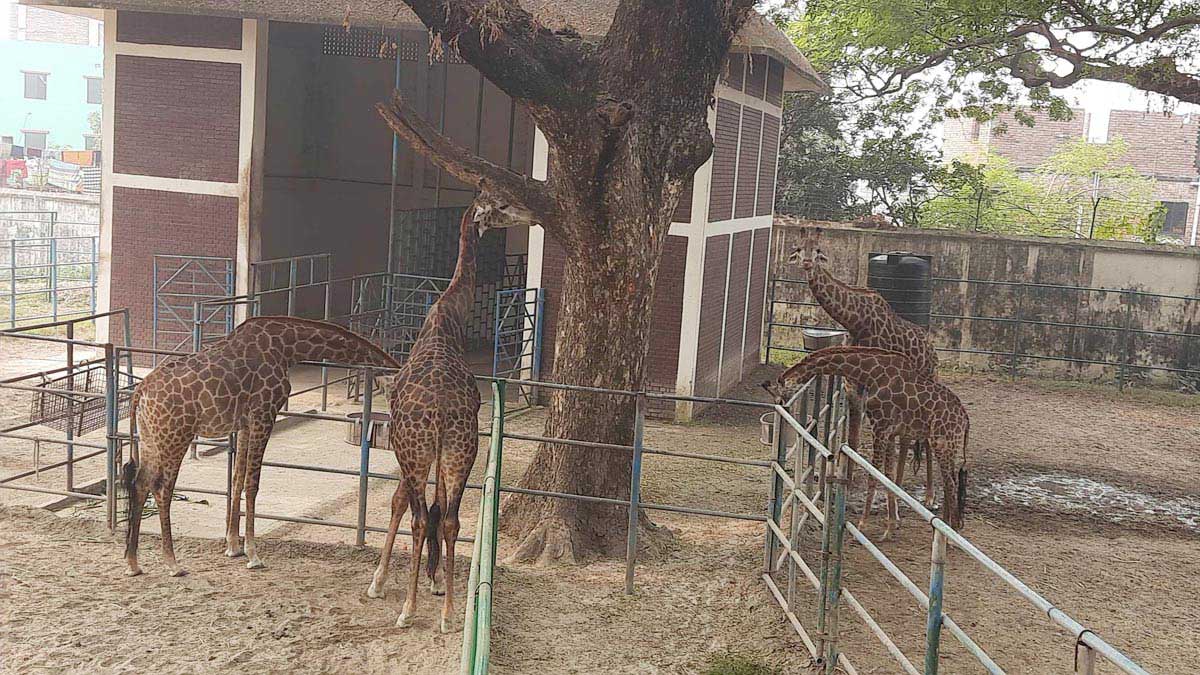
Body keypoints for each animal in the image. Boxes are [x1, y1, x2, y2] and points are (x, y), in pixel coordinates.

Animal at [124, 314, 400, 571]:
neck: (288, 348)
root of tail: (139, 392)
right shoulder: (264, 415)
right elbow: (252, 484)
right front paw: (253, 555)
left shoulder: (245, 424)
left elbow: (237, 479)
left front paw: (233, 546)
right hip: (175, 436)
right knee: (162, 488)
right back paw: (172, 563)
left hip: (151, 438)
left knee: (140, 482)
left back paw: (133, 562)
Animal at [364, 204, 496, 629]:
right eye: (495, 211)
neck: (448, 313)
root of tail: (438, 411)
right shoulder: (436, 455)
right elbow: (434, 509)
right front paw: (435, 581)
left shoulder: (408, 454)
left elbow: (400, 503)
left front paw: (380, 582)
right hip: (460, 451)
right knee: (450, 519)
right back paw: (449, 614)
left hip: (420, 452)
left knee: (420, 518)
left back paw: (409, 610)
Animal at [763, 345, 969, 530]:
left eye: (780, 396)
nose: (783, 411)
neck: (871, 373)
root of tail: (965, 418)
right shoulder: (889, 431)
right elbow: (888, 476)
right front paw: (892, 523)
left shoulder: (880, 427)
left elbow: (873, 474)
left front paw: (863, 523)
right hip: (948, 445)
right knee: (951, 481)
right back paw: (949, 527)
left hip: (941, 442)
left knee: (951, 483)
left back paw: (950, 532)